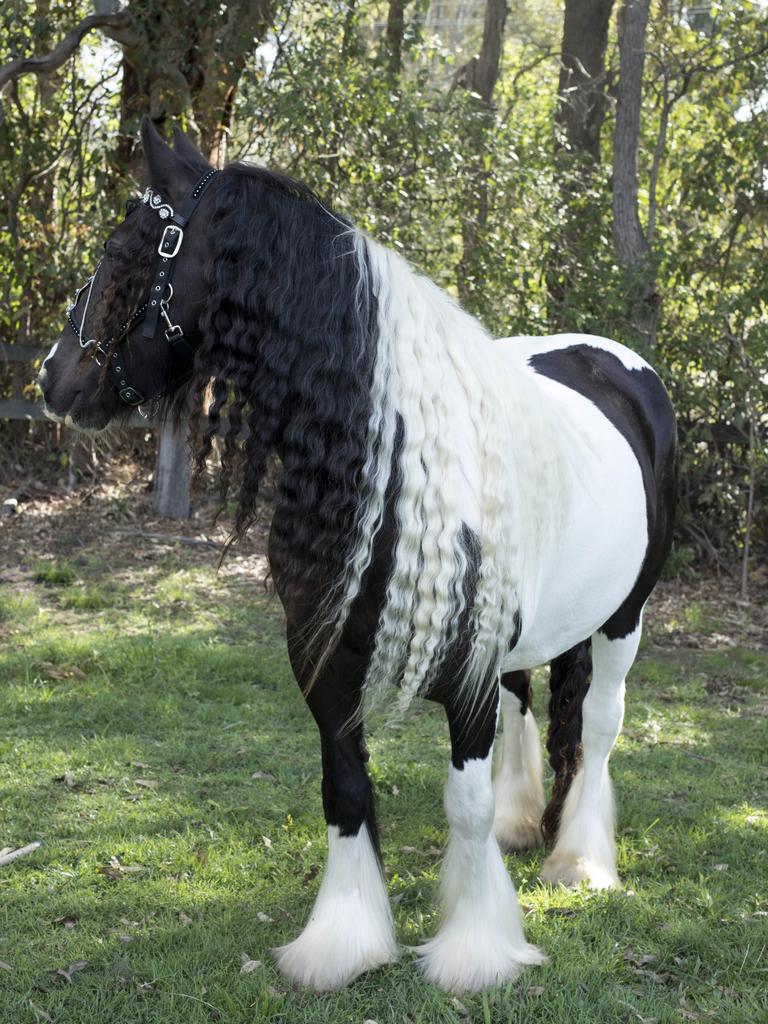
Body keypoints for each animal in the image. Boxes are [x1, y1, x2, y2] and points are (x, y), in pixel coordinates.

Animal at [40, 119, 679, 991]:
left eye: (121, 246)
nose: (51, 375)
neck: (392, 469)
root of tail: (613, 361)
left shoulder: (464, 678)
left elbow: (463, 804)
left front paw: (475, 952)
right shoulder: (325, 661)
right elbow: (345, 792)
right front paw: (342, 944)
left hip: (625, 619)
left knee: (603, 721)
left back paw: (580, 861)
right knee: (529, 700)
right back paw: (524, 826)